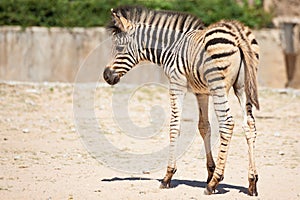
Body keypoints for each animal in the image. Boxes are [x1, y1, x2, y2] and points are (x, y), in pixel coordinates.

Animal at [103, 5, 260, 195]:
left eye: (119, 48)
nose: (106, 76)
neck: (171, 47)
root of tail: (238, 35)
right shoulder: (201, 93)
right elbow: (204, 127)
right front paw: (210, 171)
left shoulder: (177, 84)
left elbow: (174, 126)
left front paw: (168, 176)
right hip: (242, 88)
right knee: (249, 125)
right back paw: (251, 182)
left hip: (219, 87)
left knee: (227, 123)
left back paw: (214, 183)